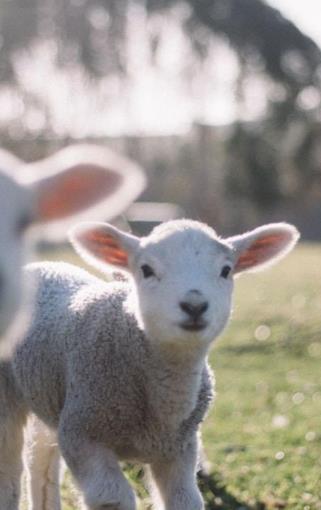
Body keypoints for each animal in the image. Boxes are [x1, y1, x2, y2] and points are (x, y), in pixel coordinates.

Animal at [10, 218, 300, 510]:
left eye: (226, 270)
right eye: (146, 270)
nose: (194, 305)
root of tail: (45, 265)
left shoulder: (180, 449)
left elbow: (186, 500)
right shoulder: (81, 434)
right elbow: (113, 497)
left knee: (41, 461)